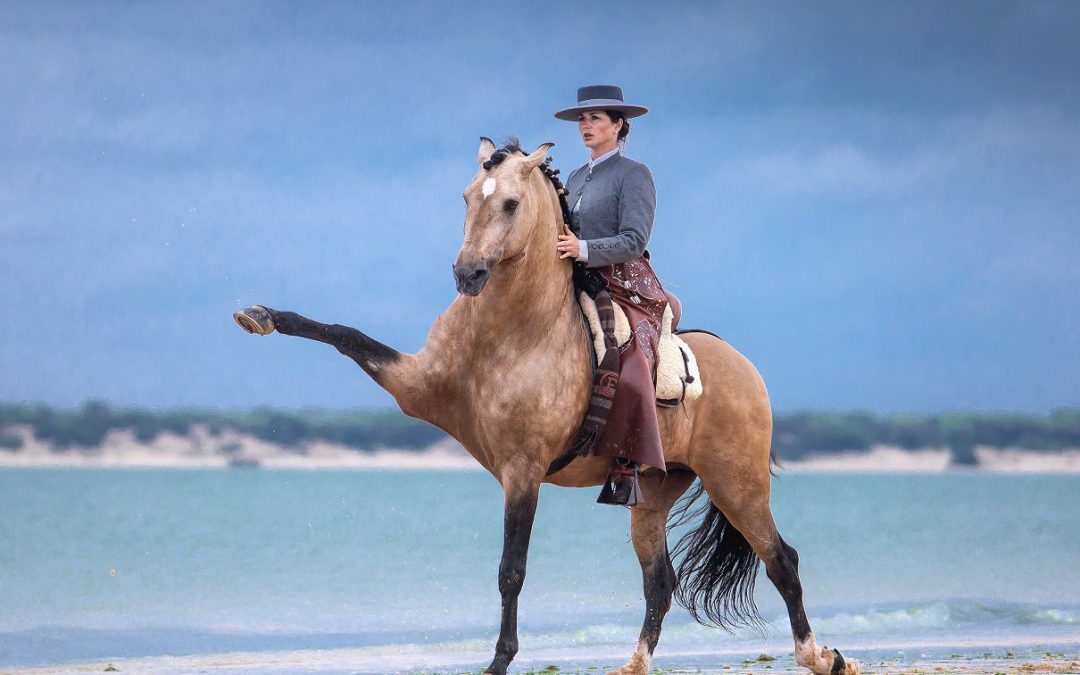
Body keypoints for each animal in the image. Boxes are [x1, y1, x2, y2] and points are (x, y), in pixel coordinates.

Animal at [234, 138, 859, 673]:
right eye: (466, 196)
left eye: (511, 203)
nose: (468, 274)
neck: (506, 335)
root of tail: (745, 367)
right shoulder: (411, 385)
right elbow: (344, 335)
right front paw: (261, 316)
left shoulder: (523, 470)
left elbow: (511, 570)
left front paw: (498, 661)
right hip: (656, 493)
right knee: (660, 582)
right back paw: (634, 665)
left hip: (737, 483)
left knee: (781, 560)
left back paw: (822, 657)